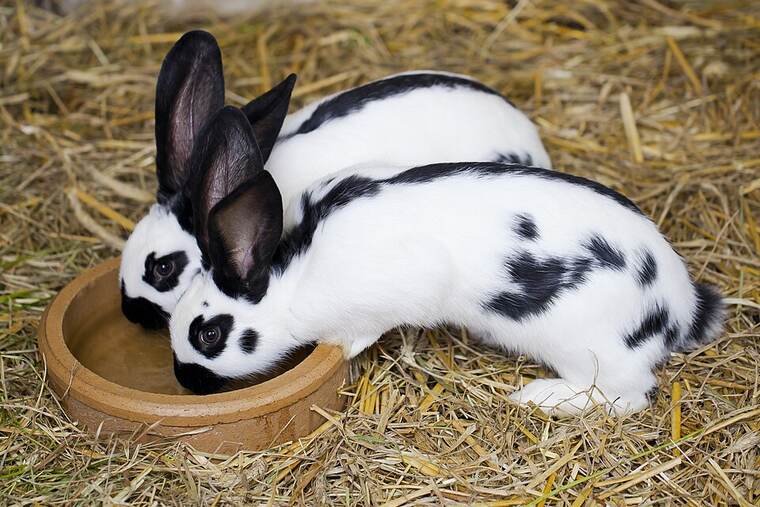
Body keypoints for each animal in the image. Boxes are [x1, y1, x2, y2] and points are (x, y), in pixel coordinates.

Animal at [168, 107, 724, 416]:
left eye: (209, 333)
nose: (186, 382)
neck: (294, 280)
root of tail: (681, 306)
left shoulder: (402, 284)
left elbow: (368, 327)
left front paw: (346, 347)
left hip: (592, 349)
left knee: (629, 395)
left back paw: (539, 398)